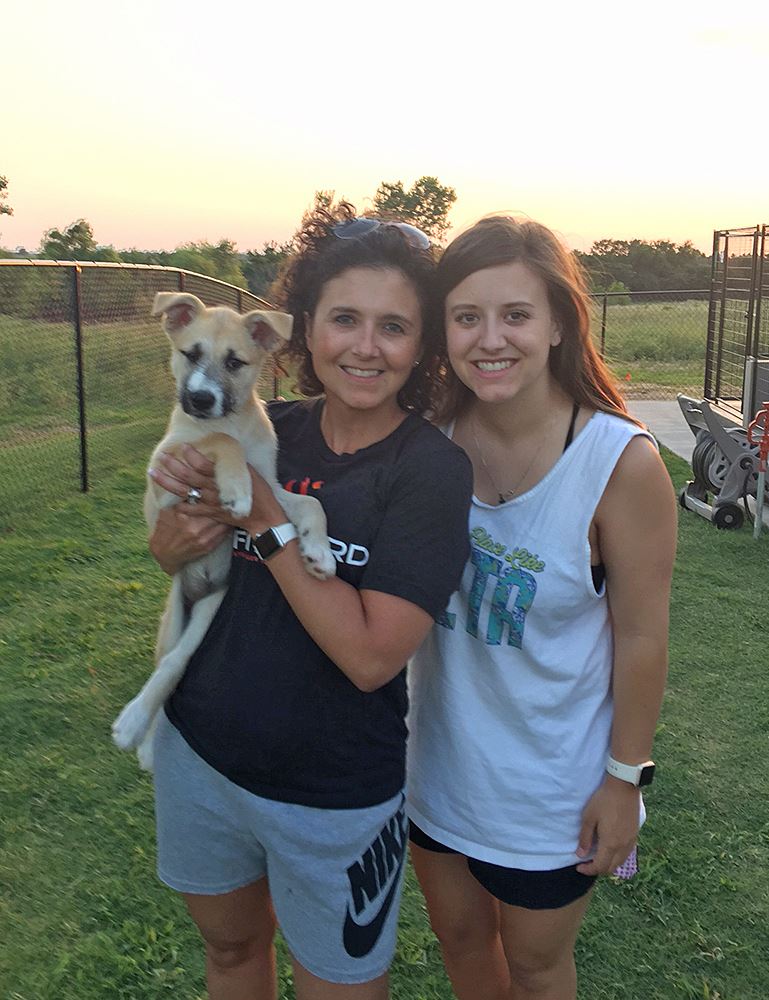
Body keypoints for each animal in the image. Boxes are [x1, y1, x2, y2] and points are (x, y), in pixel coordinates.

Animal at [112, 291, 335, 769]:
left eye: (235, 363)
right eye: (189, 354)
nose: (199, 400)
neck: (228, 419)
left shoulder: (272, 485)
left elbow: (312, 503)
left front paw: (320, 555)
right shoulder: (163, 478)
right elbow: (220, 443)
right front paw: (234, 487)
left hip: (210, 608)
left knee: (176, 664)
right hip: (174, 617)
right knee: (163, 665)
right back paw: (139, 731)